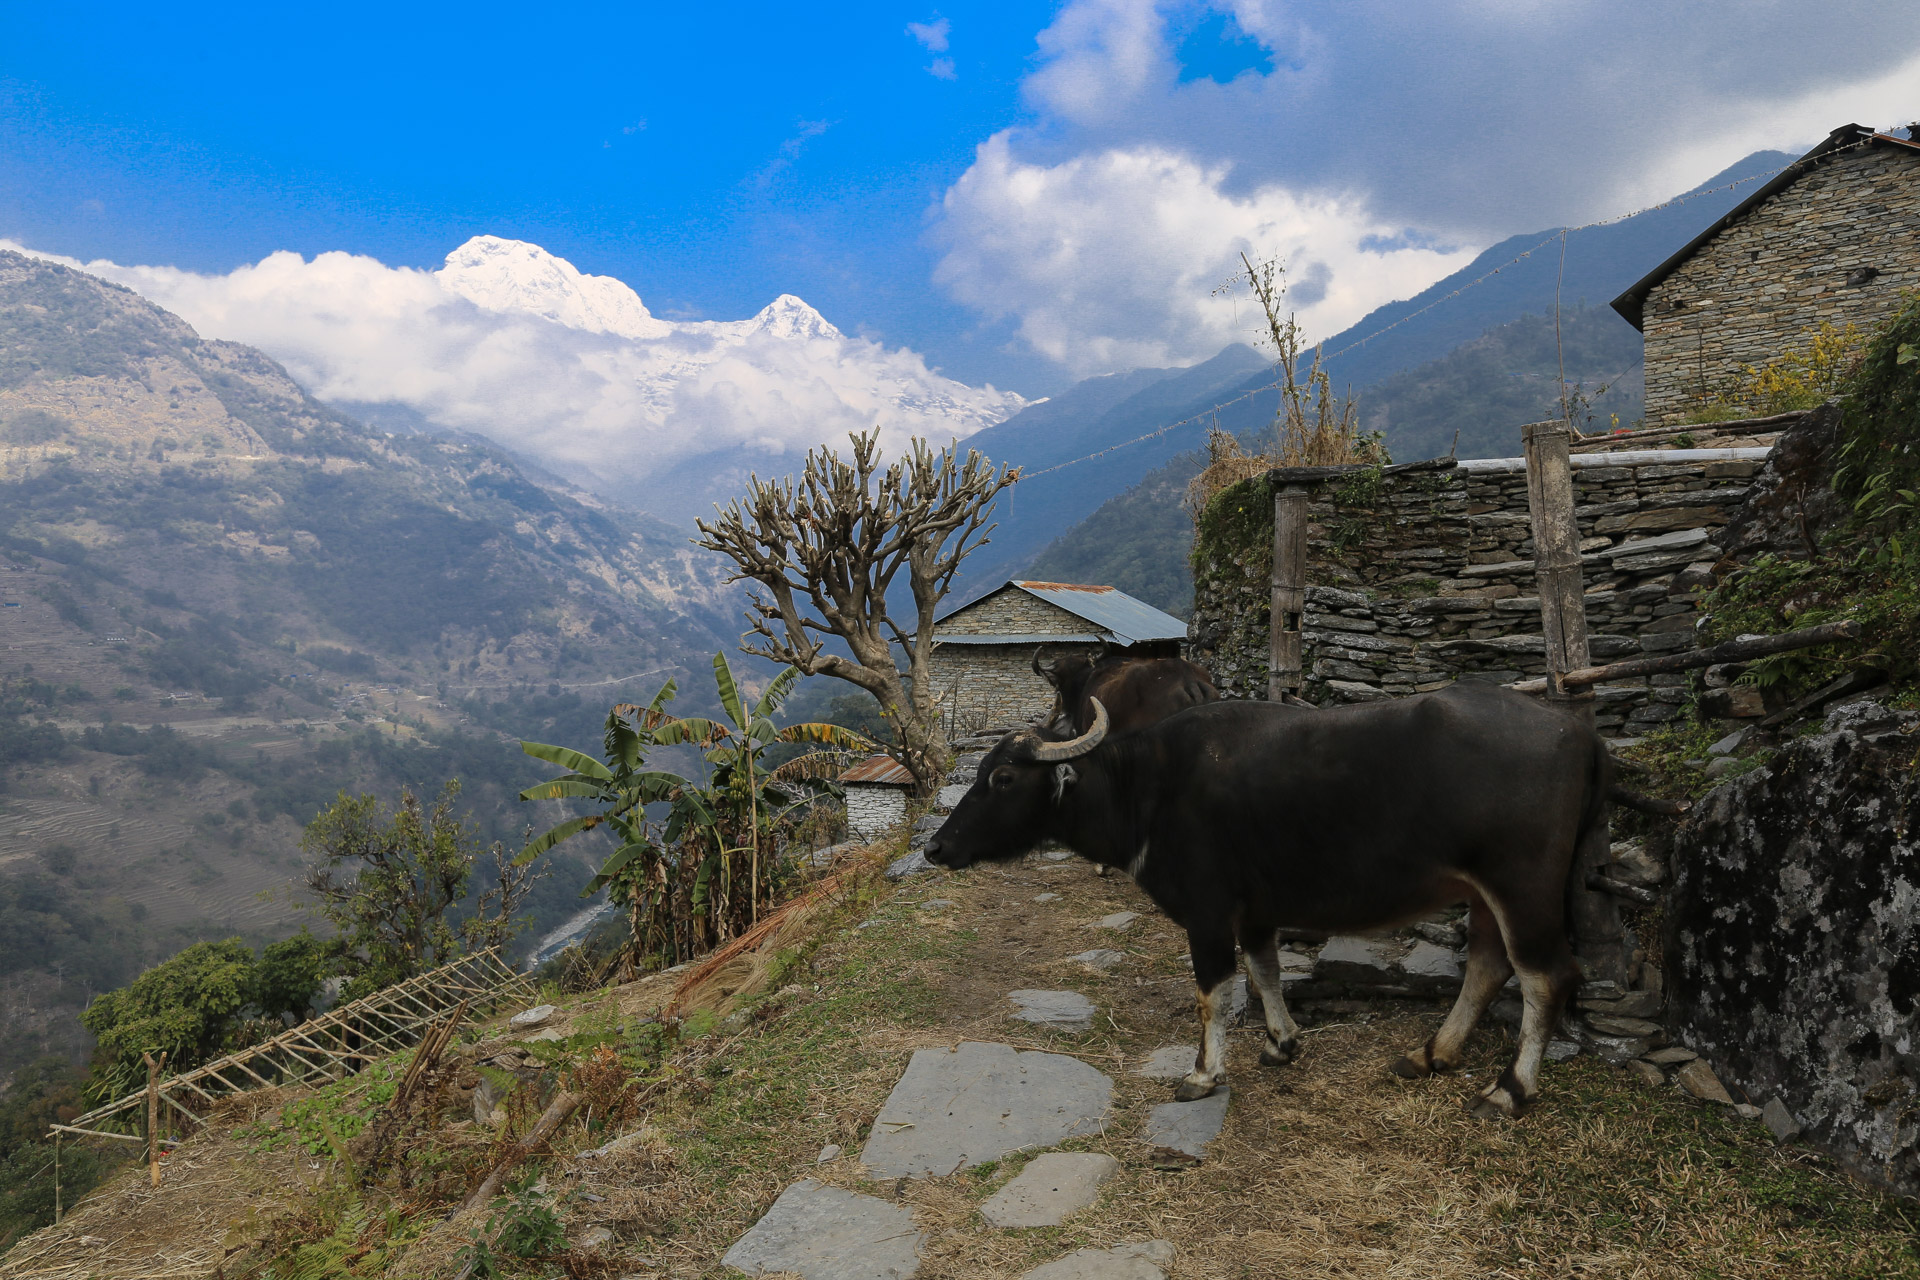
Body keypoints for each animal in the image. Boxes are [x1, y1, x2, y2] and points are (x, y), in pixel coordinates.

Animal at [921, 687, 1612, 1113]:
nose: (935, 847)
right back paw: (1430, 1054)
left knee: (1546, 976)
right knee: (1490, 967)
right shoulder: (1254, 913)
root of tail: (1579, 732)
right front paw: (1283, 1043)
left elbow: (1213, 991)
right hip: (1481, 892)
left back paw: (1509, 1090)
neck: (1147, 790)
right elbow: (1266, 971)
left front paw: (1203, 1074)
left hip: (1522, 888)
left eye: (1003, 778)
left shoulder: (1206, 913)